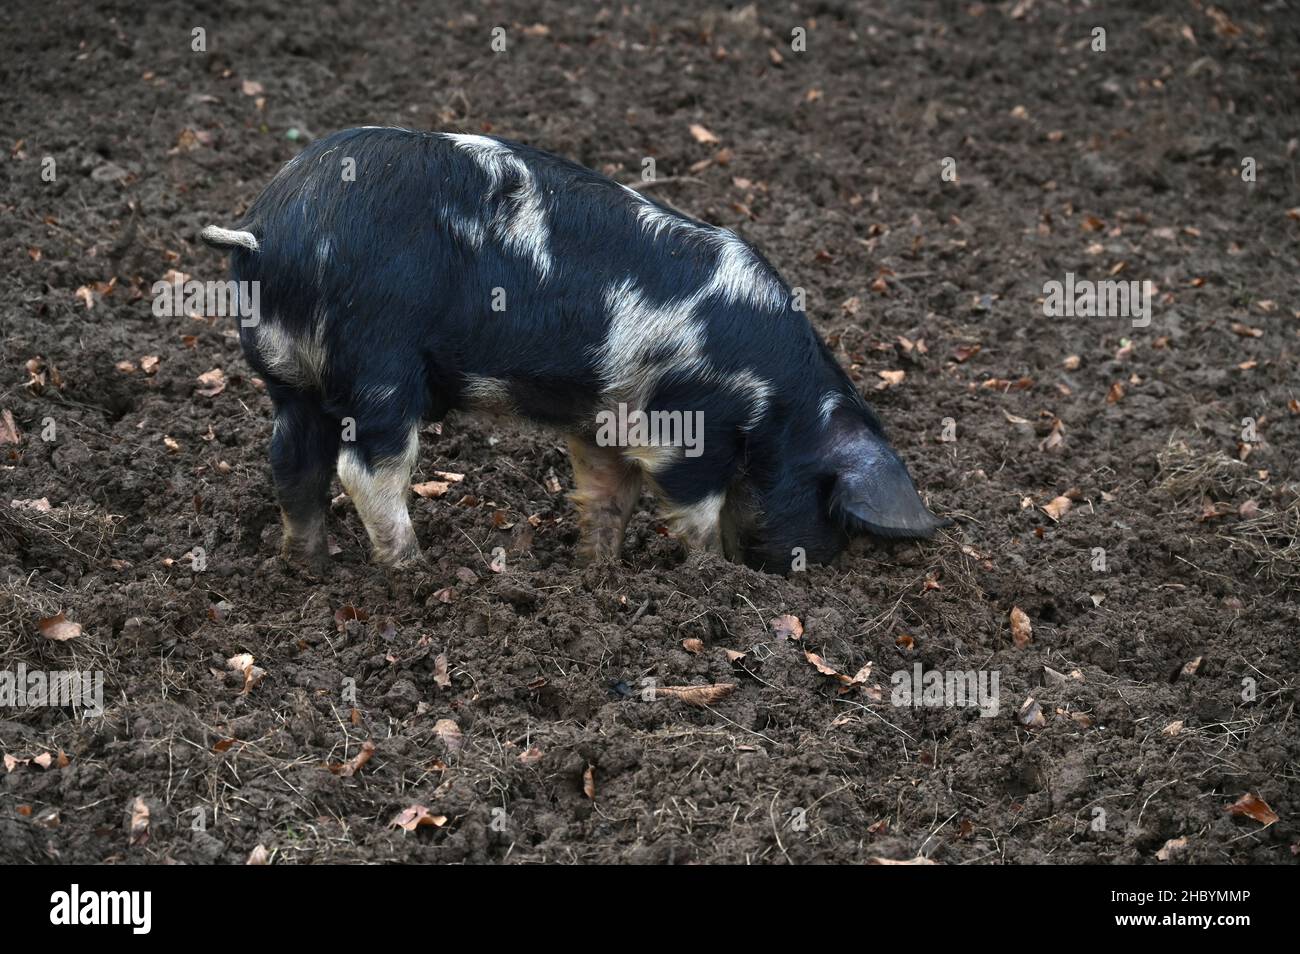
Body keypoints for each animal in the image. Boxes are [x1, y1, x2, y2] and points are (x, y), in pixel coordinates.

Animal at [201, 127, 948, 573]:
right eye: (832, 506)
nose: (812, 568)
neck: (779, 403)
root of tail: (269, 228)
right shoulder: (685, 427)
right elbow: (694, 509)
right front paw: (710, 574)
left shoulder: (606, 419)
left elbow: (607, 494)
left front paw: (597, 568)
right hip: (378, 365)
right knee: (367, 471)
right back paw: (413, 567)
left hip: (289, 377)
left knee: (292, 460)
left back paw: (307, 563)